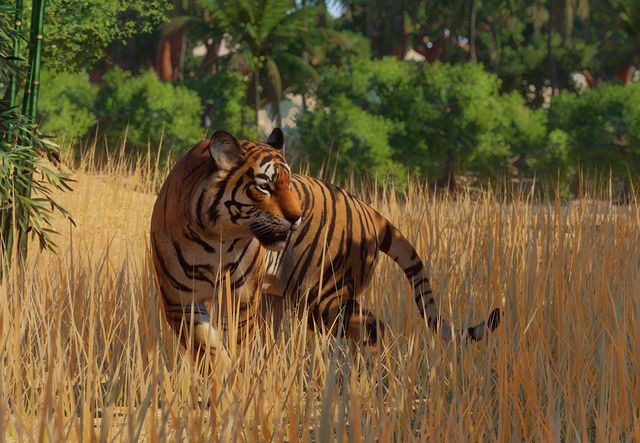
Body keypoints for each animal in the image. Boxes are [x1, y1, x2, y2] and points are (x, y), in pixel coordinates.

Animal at [150, 128, 500, 361]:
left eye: (289, 182)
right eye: (264, 186)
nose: (297, 217)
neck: (216, 236)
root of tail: (369, 210)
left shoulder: (243, 297)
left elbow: (234, 343)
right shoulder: (180, 302)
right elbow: (208, 348)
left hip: (320, 295)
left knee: (373, 326)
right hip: (284, 299)